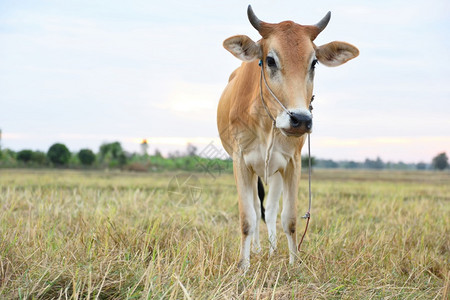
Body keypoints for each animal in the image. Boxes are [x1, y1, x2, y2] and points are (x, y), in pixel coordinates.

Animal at [217, 5, 358, 270]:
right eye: (270, 60)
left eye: (314, 63)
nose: (300, 119)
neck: (266, 122)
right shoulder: (241, 161)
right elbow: (247, 218)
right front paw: (244, 266)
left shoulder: (292, 162)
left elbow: (289, 219)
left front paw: (294, 265)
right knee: (256, 207)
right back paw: (258, 249)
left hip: (275, 170)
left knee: (271, 210)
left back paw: (272, 250)